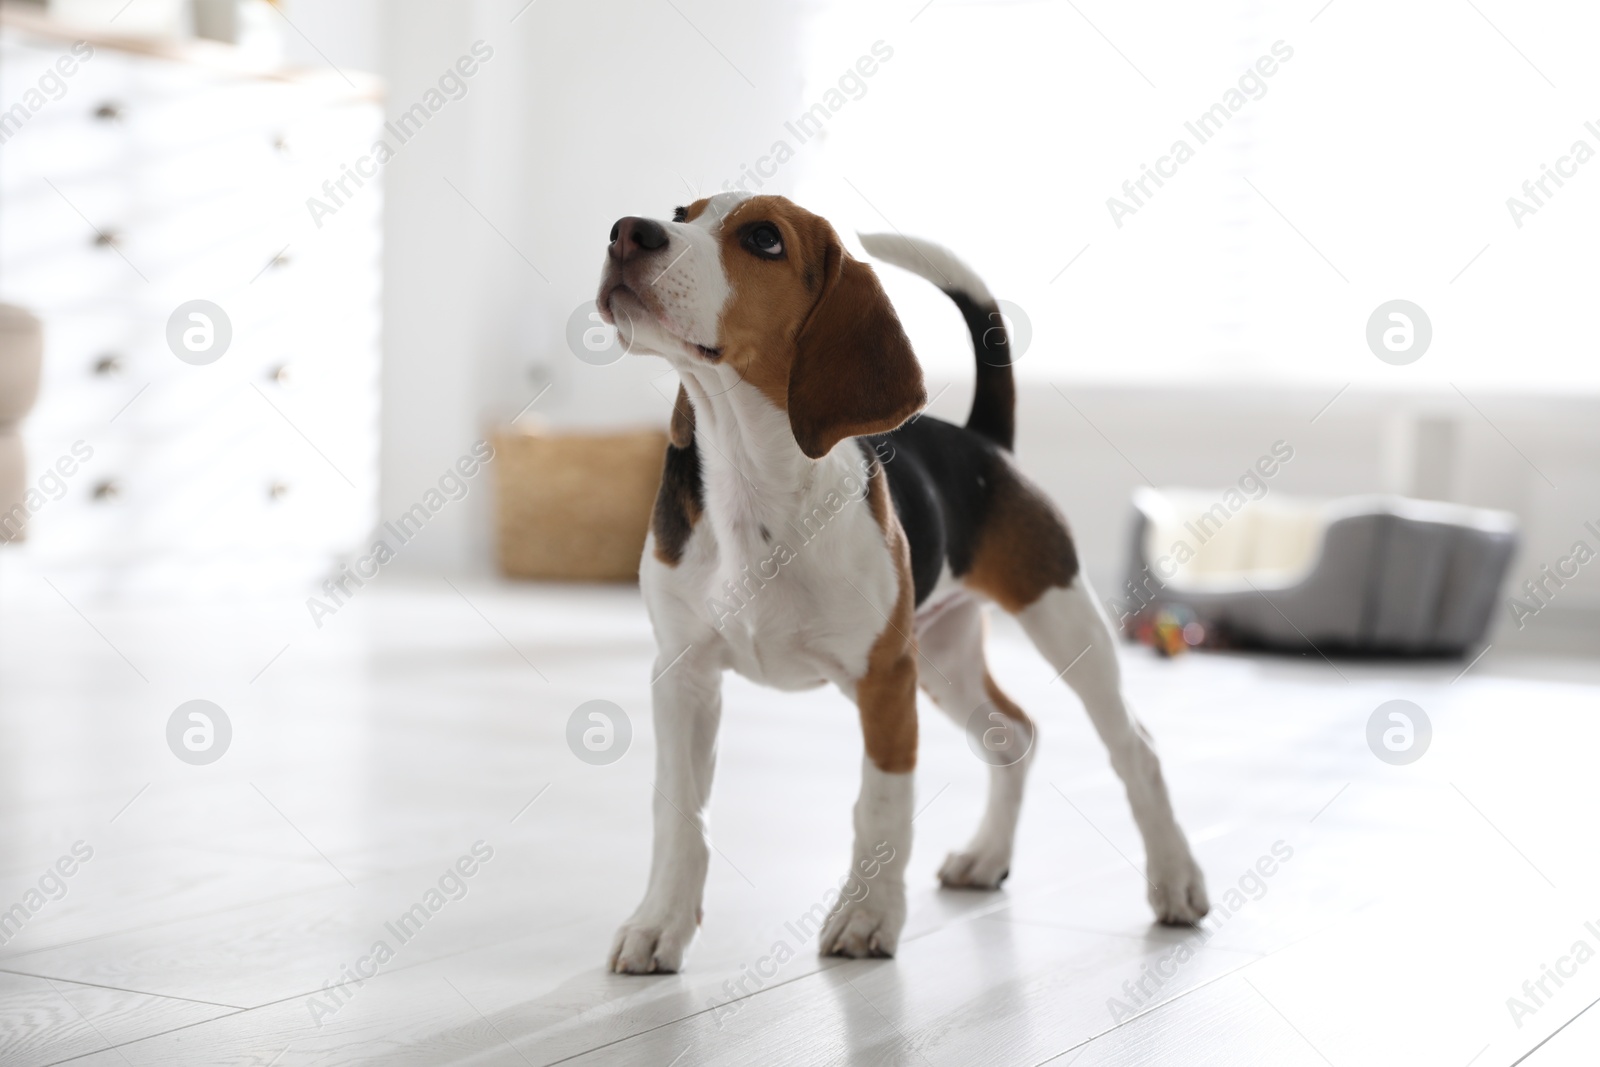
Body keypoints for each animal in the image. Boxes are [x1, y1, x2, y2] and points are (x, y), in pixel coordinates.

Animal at [595, 191, 1203, 979]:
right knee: (1014, 732)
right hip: (941, 654)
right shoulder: (683, 675)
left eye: (763, 239)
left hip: (1063, 625)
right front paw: (659, 922)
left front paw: (867, 916)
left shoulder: (884, 679)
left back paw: (1176, 879)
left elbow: (879, 804)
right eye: (681, 212)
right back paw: (987, 856)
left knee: (1136, 748)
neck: (749, 478)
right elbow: (678, 811)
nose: (627, 233)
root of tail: (984, 440)